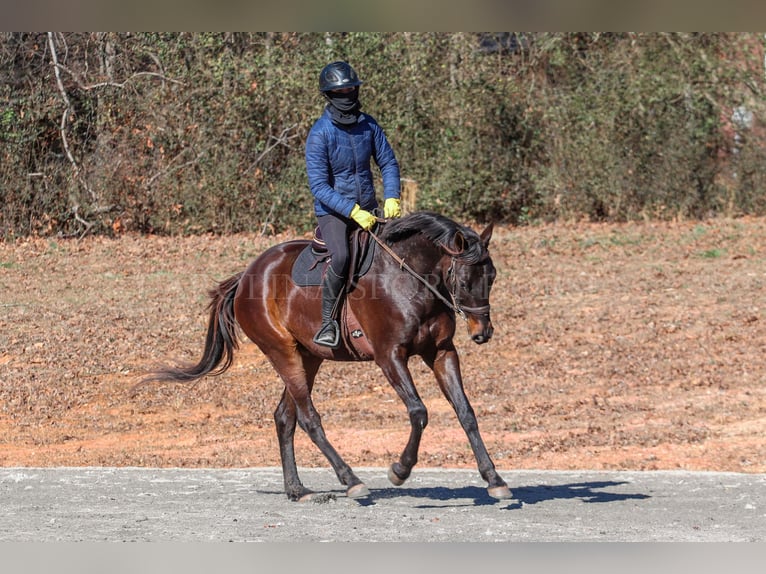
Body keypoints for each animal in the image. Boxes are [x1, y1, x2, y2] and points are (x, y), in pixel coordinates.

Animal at [147, 213, 512, 504]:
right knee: (309, 418)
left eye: (492, 276)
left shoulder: (441, 352)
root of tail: (248, 274)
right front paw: (399, 469)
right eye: (464, 280)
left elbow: (466, 412)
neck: (410, 277)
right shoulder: (389, 356)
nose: (483, 332)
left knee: (284, 417)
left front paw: (494, 480)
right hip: (282, 352)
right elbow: (418, 412)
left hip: (308, 357)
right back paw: (351, 481)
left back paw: (297, 490)